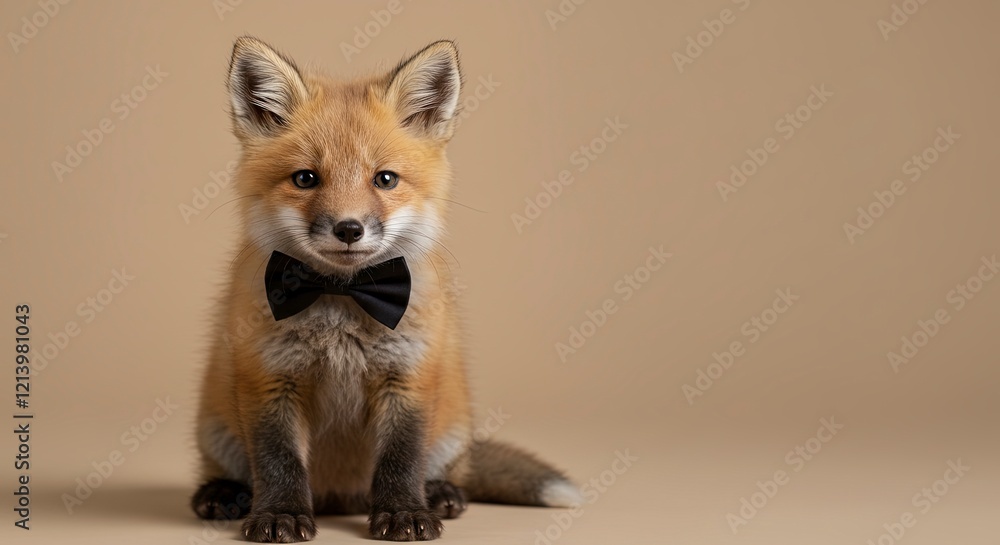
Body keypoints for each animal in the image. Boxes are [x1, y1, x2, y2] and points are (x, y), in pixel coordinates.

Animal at [190, 36, 582, 543]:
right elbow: (278, 461)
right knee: (231, 471)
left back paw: (440, 493)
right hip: (214, 424)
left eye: (385, 179)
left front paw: (403, 513)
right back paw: (225, 494)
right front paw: (280, 514)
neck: (341, 299)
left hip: (452, 421)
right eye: (305, 178)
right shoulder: (268, 379)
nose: (349, 229)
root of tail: (339, 497)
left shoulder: (409, 377)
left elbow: (401, 457)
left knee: (449, 472)